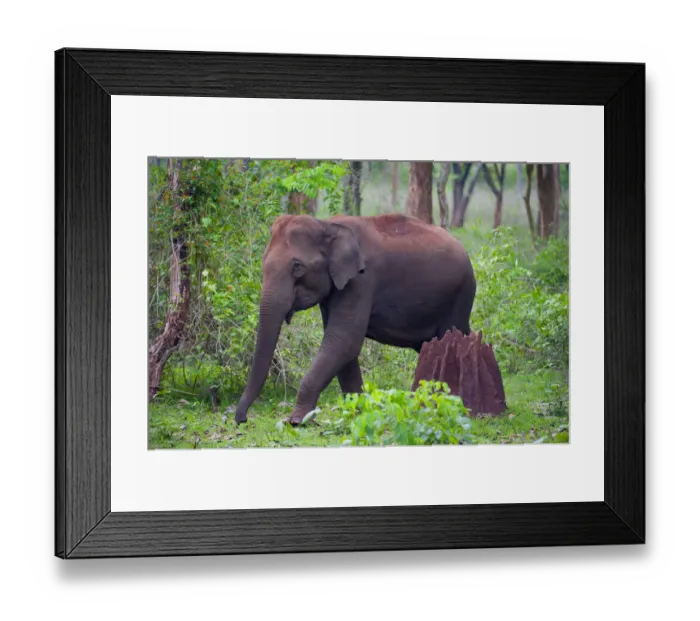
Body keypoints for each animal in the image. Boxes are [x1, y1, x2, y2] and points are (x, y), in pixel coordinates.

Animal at [233, 213, 477, 425]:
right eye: (263, 262)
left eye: (297, 267)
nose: (242, 419)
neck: (326, 224)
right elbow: (342, 346)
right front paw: (358, 412)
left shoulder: (361, 281)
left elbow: (343, 340)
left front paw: (296, 421)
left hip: (459, 295)